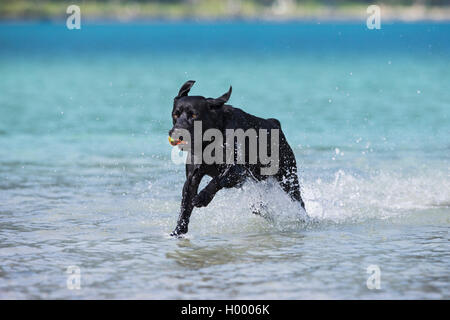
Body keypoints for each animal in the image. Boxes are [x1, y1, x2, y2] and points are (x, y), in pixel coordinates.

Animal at [169, 80, 306, 235]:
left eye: (193, 115)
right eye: (175, 115)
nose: (176, 133)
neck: (211, 139)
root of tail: (275, 124)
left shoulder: (238, 171)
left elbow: (217, 180)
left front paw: (203, 197)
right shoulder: (192, 178)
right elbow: (185, 207)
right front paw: (178, 230)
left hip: (287, 178)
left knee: (299, 201)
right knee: (260, 206)